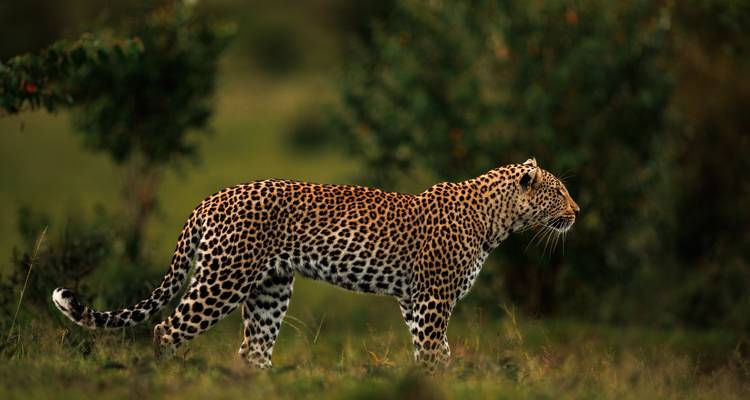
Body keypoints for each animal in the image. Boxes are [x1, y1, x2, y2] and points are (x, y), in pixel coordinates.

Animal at [52, 158, 579, 372]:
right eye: (558, 192)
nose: (576, 212)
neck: (497, 220)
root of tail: (211, 199)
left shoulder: (413, 303)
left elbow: (437, 353)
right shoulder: (431, 300)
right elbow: (433, 353)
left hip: (269, 289)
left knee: (252, 350)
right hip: (224, 278)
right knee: (167, 330)